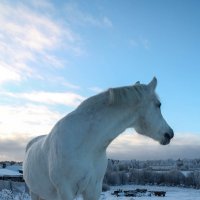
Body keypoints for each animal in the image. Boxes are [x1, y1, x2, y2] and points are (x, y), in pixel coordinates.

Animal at [23, 77, 173, 200]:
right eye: (158, 104)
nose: (169, 134)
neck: (86, 144)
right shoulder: (65, 191)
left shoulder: (94, 189)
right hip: (34, 193)